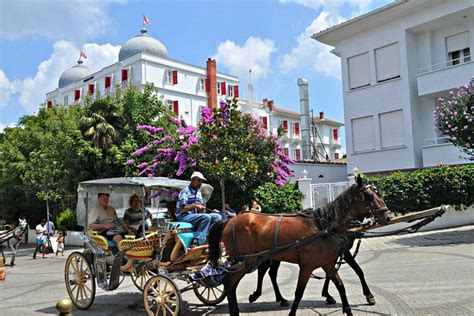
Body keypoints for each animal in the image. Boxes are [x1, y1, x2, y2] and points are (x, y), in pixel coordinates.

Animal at [209, 175, 390, 316]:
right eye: (368, 197)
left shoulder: (327, 262)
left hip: (256, 259)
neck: (324, 226)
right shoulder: (308, 265)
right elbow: (299, 292)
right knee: (230, 281)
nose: (387, 216)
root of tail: (230, 220)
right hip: (246, 260)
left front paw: (344, 306)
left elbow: (340, 285)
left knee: (253, 277)